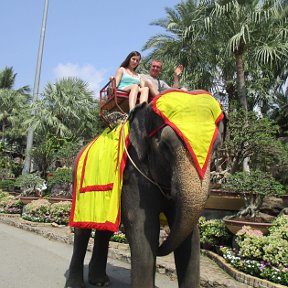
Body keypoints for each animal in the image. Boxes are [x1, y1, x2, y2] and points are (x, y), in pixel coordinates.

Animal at [66, 91, 227, 288]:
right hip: (79, 185)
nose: (161, 243)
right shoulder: (133, 173)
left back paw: (100, 282)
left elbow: (191, 236)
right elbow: (143, 227)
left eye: (217, 147)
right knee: (82, 229)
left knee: (105, 229)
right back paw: (76, 284)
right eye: (165, 145)